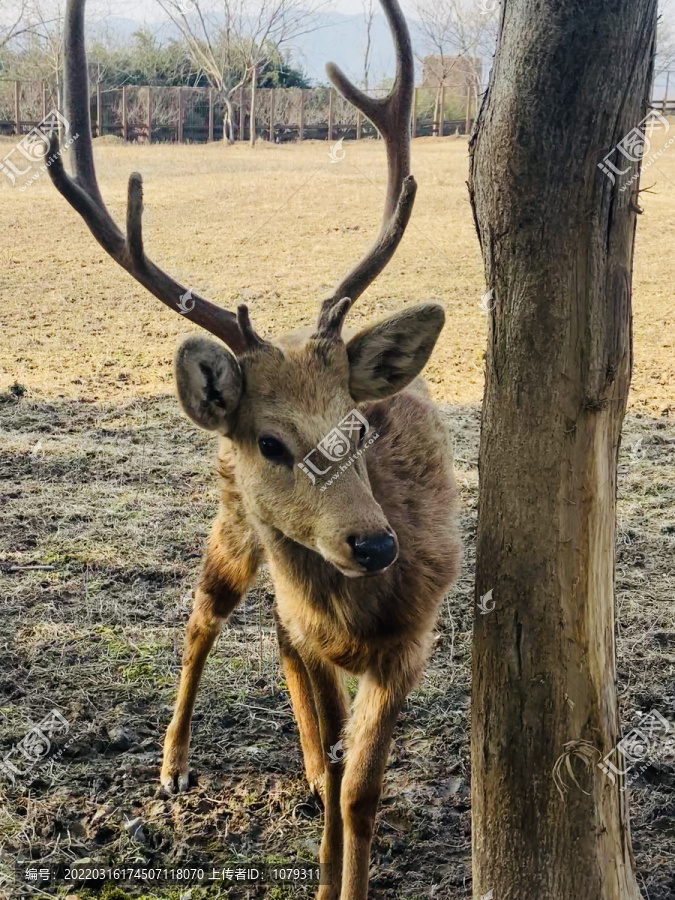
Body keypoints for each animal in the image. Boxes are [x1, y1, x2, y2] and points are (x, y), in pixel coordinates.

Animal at [47, 3, 460, 896]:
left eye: (359, 425)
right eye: (270, 439)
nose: (373, 543)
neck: (355, 615)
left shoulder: (410, 644)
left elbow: (359, 789)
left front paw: (343, 867)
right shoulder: (314, 621)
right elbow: (340, 771)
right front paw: (325, 876)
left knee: (275, 644)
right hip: (230, 524)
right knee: (202, 619)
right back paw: (172, 767)